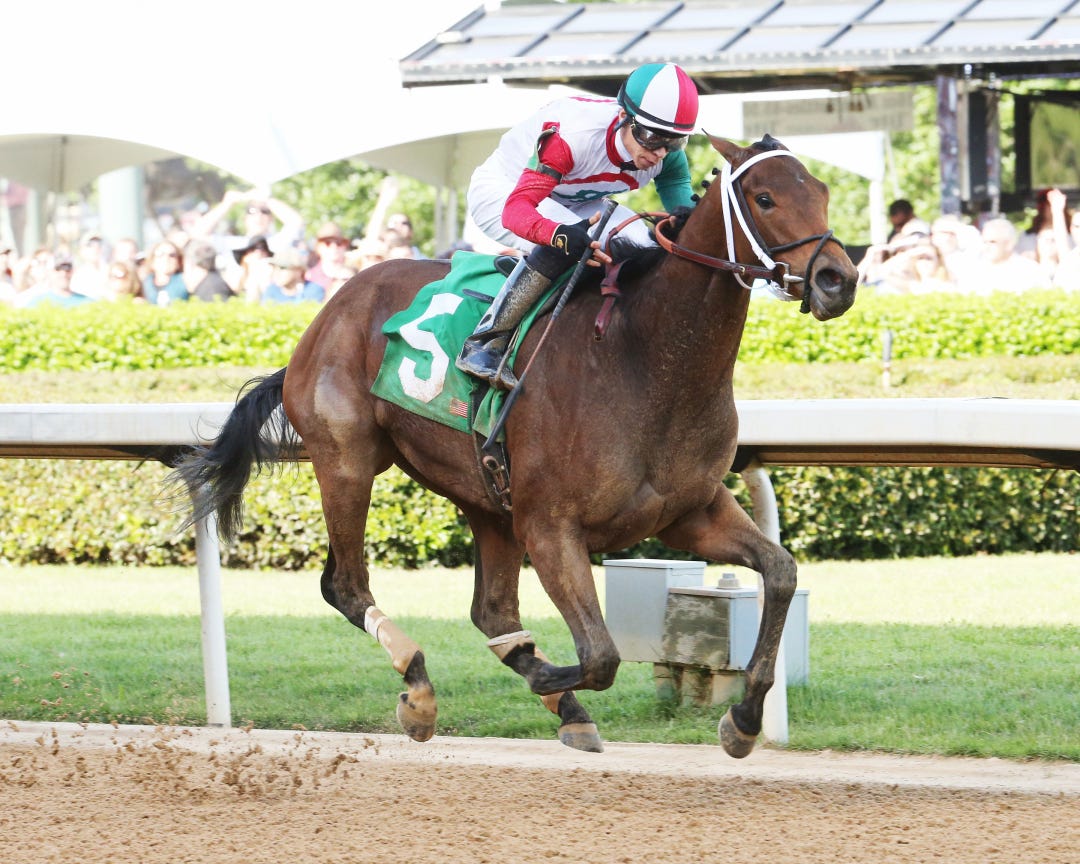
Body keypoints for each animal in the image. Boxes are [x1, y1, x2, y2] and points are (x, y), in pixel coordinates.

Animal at [172, 134, 858, 758]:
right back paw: (421, 689)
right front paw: (548, 676)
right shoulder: (551, 524)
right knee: (346, 585)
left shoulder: (689, 511)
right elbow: (601, 655)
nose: (838, 280)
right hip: (347, 460)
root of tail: (327, 314)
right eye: (765, 197)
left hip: (485, 494)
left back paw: (561, 705)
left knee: (493, 611)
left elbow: (780, 572)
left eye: (823, 192)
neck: (643, 358)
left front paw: (742, 719)